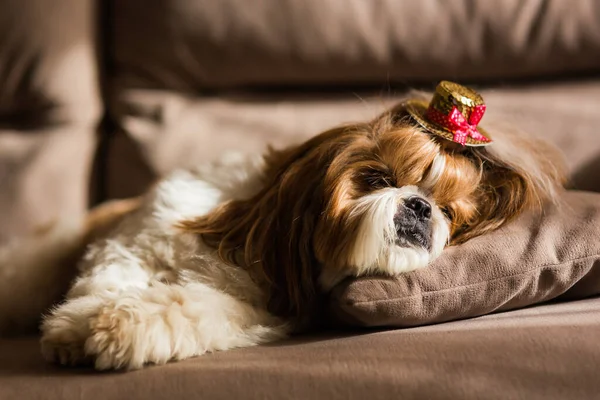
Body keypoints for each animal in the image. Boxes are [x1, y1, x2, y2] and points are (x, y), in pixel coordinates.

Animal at [3, 82, 564, 372]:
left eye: (449, 212)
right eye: (378, 179)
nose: (423, 207)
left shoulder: (259, 308)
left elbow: (187, 306)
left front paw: (114, 328)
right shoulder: (134, 240)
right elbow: (107, 277)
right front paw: (74, 326)